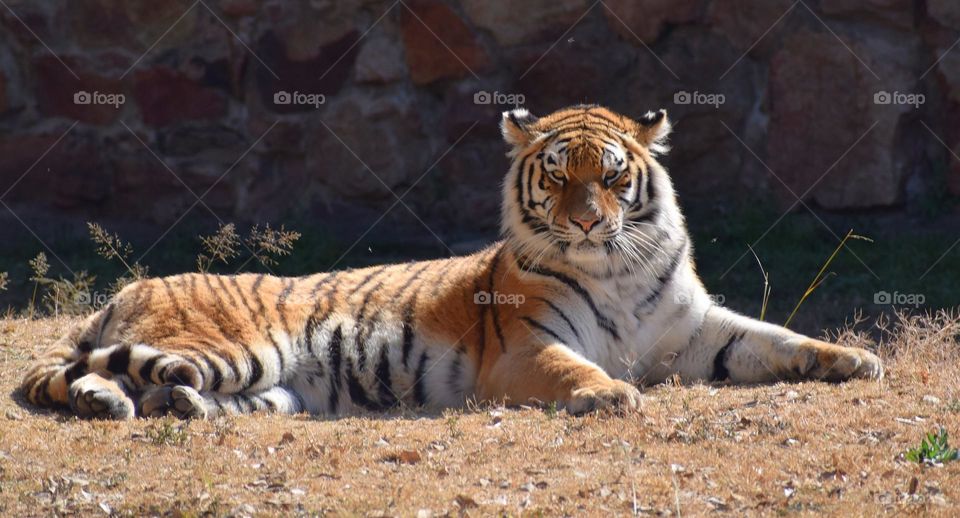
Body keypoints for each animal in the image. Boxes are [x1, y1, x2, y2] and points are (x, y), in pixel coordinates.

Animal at [19, 105, 883, 420]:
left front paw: (856, 359)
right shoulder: (526, 349)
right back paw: (133, 402)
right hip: (232, 350)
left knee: (123, 385)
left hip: (276, 391)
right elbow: (575, 369)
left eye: (611, 176)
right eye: (558, 175)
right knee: (113, 374)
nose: (588, 220)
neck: (618, 268)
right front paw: (611, 394)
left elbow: (776, 337)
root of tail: (126, 289)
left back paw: (138, 406)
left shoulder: (698, 331)